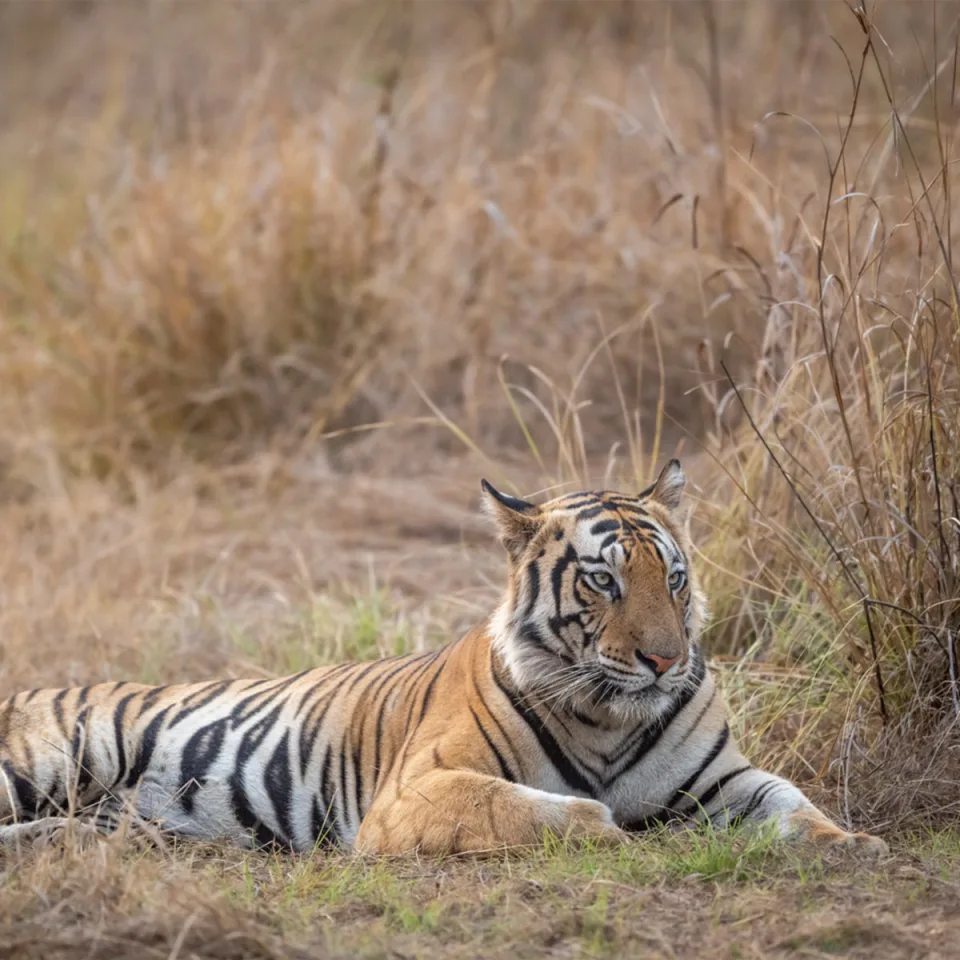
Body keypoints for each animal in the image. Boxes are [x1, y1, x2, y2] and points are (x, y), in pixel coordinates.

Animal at [0, 460, 887, 857]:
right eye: (603, 580)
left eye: (673, 578)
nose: (665, 661)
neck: (608, 717)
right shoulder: (419, 789)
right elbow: (550, 810)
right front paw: (613, 833)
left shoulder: (724, 778)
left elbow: (791, 801)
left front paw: (852, 844)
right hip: (48, 759)